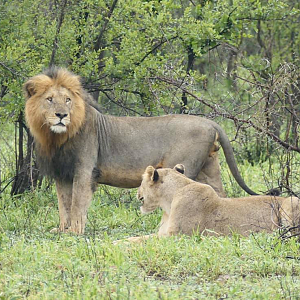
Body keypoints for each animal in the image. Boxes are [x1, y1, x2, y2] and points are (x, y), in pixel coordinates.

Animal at [24, 67, 256, 233]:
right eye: (49, 99)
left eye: (68, 100)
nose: (61, 115)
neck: (56, 138)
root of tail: (211, 123)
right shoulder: (61, 173)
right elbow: (63, 204)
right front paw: (62, 230)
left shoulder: (84, 170)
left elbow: (77, 203)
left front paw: (75, 231)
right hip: (208, 168)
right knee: (219, 195)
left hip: (185, 167)